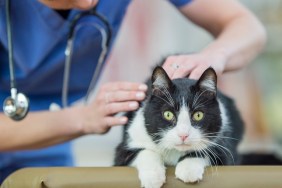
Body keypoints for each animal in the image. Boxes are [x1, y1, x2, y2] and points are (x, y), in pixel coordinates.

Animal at [113, 65, 243, 188]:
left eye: (198, 115)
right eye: (168, 114)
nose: (183, 135)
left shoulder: (224, 147)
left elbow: (208, 151)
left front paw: (188, 168)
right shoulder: (129, 141)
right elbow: (144, 152)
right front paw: (153, 177)